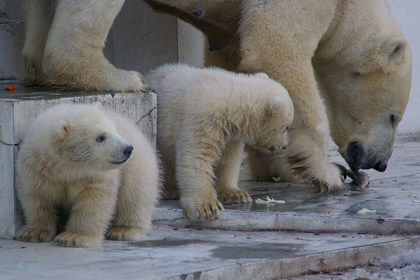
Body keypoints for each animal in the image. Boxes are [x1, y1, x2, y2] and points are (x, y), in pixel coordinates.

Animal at [23, 0, 410, 190]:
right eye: (395, 116)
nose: (380, 163)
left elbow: (236, 63)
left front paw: (277, 164)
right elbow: (274, 48)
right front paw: (327, 173)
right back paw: (113, 76)